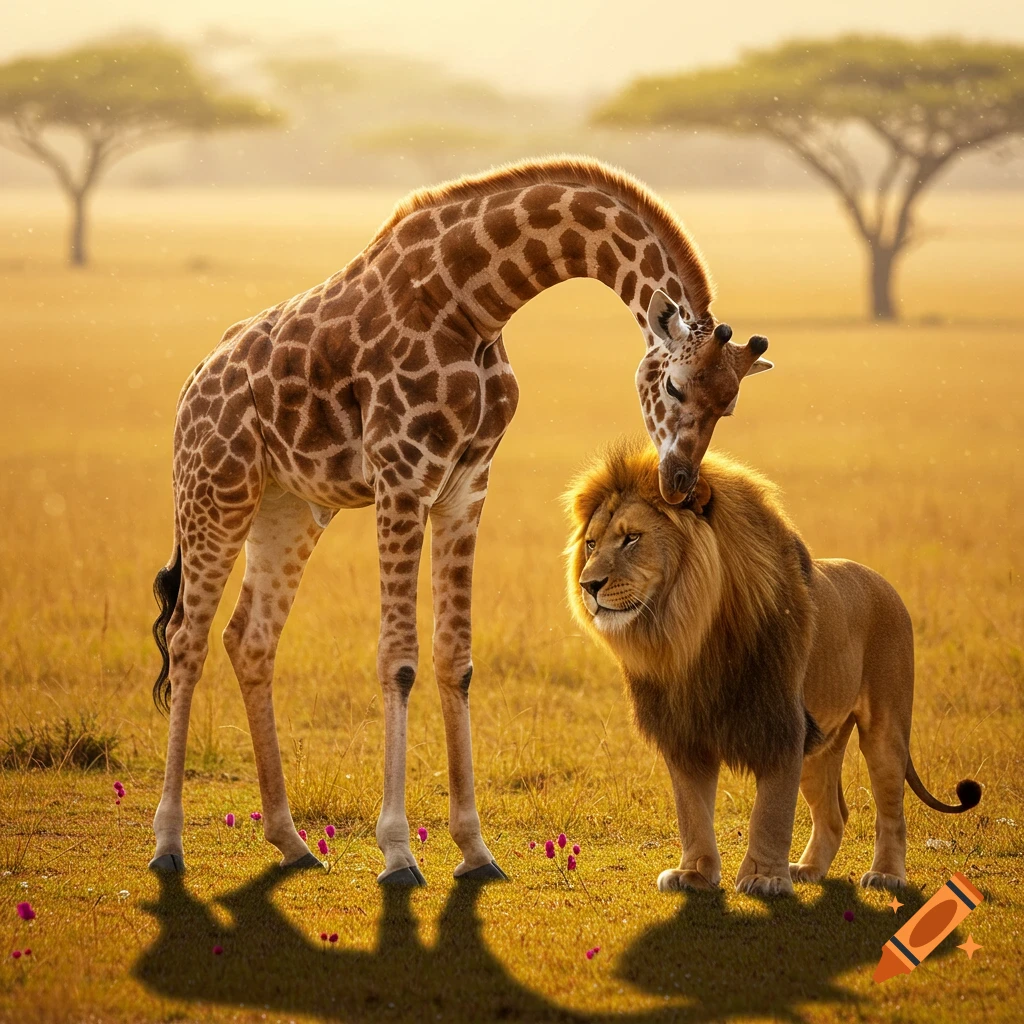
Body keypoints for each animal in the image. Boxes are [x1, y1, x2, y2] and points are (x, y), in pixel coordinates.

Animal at [148, 157, 774, 884]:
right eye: (674, 386)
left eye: (729, 405)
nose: (677, 483)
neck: (473, 304)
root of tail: (193, 382)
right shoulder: (401, 477)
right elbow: (398, 658)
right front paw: (398, 853)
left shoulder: (464, 486)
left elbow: (455, 657)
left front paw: (476, 851)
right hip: (214, 491)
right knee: (187, 639)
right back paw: (167, 844)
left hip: (289, 507)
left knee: (248, 639)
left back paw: (292, 841)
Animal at [564, 438, 981, 895]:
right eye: (591, 544)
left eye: (631, 539)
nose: (588, 586)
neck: (689, 636)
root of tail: (884, 582)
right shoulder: (685, 733)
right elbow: (691, 811)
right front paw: (695, 873)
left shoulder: (782, 726)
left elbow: (771, 812)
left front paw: (764, 877)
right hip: (821, 744)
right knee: (835, 813)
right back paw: (808, 869)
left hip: (884, 730)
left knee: (891, 809)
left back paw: (886, 874)